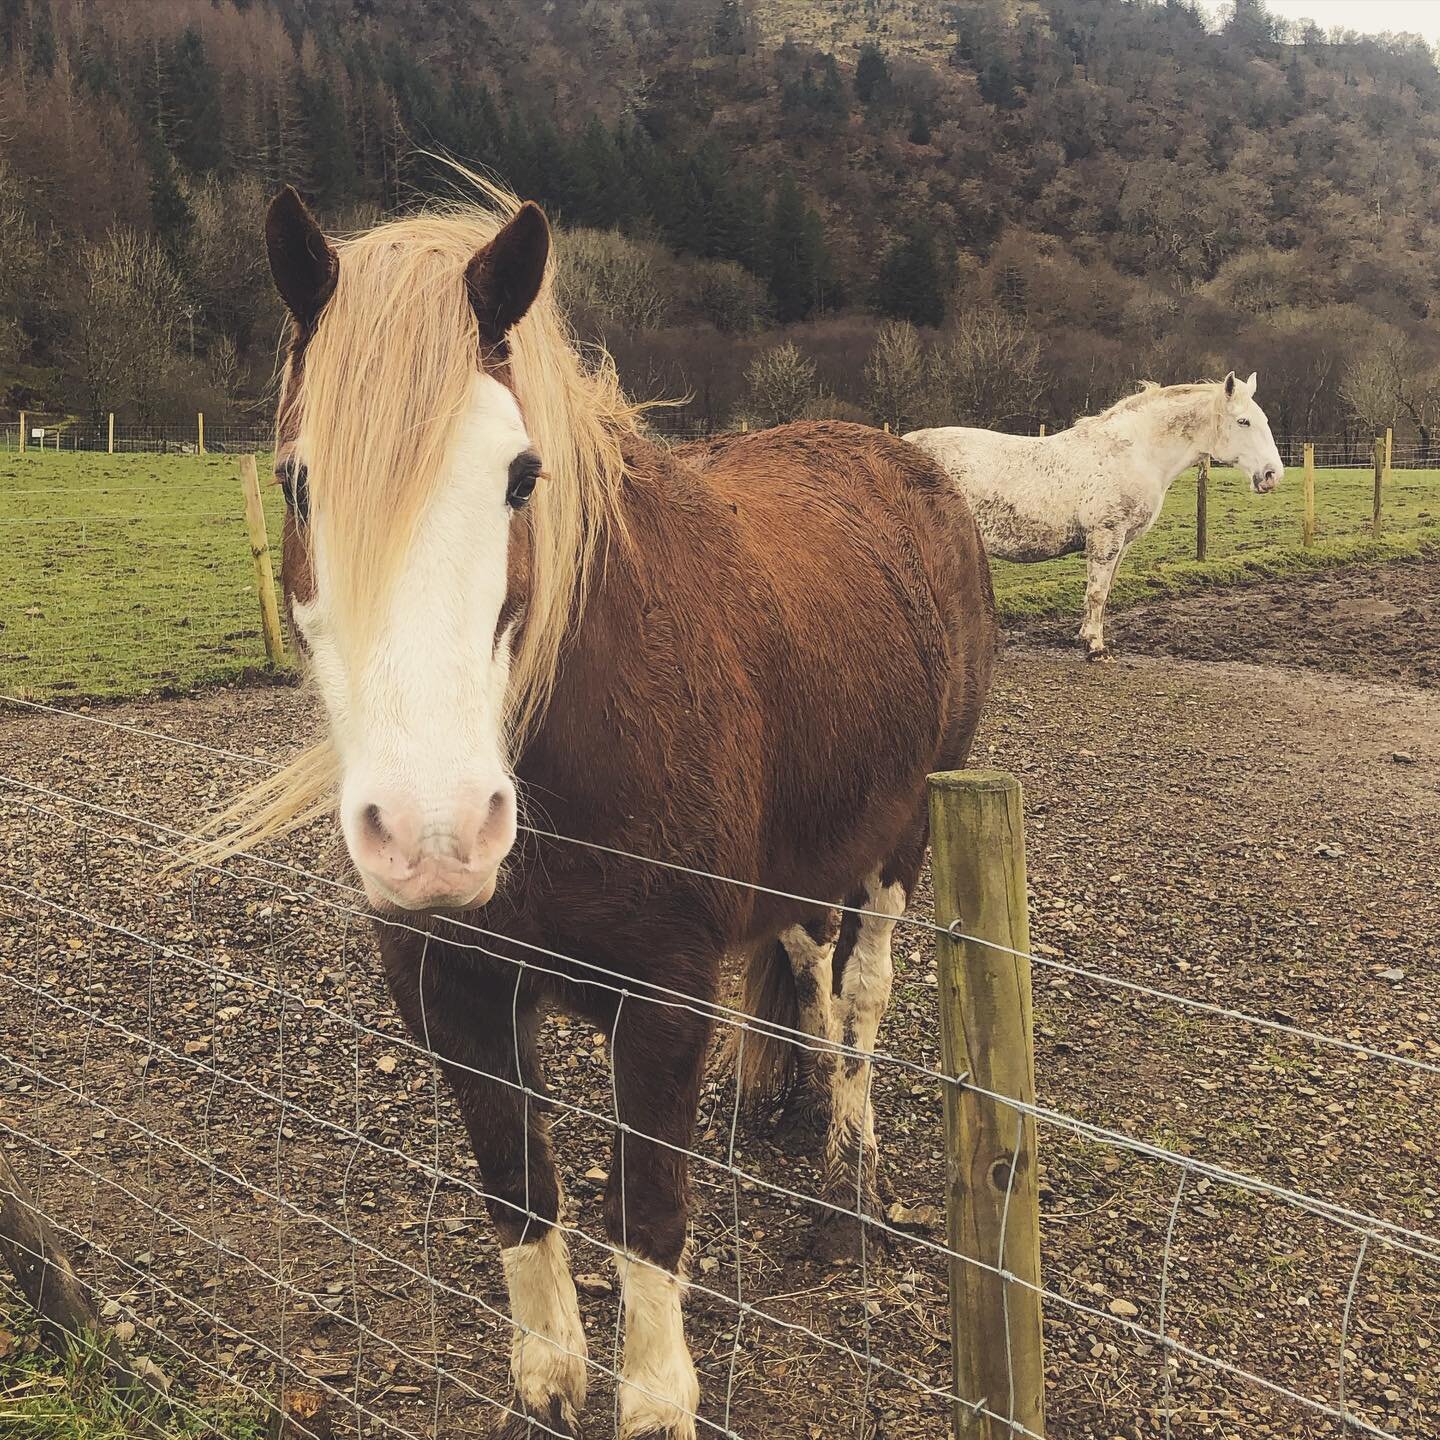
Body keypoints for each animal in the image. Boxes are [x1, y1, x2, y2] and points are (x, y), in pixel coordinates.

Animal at [230, 180, 996, 1440]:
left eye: (520, 477)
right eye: (297, 481)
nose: (436, 832)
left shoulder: (664, 999)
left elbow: (647, 1210)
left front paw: (655, 1399)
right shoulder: (451, 986)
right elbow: (520, 1191)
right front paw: (549, 1373)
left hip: (911, 831)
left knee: (866, 996)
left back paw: (850, 1172)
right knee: (808, 961)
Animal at [910, 374, 1284, 659]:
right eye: (1243, 421)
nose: (1272, 474)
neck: (1135, 453)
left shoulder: (1122, 543)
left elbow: (1103, 592)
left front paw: (1087, 636)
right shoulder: (1106, 536)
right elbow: (1097, 592)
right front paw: (1094, 647)